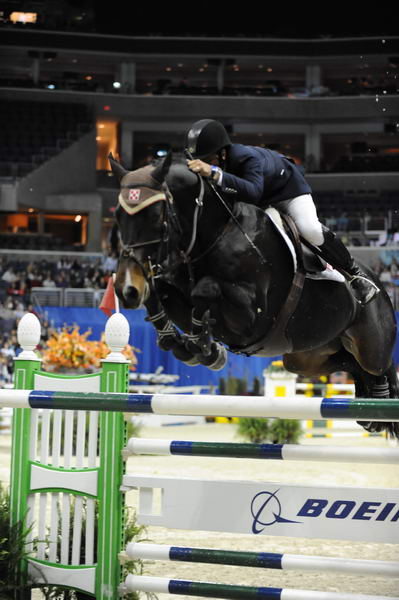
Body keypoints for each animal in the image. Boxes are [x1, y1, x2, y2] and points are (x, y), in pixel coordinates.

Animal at [108, 152, 398, 438]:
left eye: (156, 215)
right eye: (118, 216)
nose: (126, 288)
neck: (214, 233)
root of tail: (380, 286)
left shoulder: (251, 319)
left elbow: (205, 289)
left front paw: (203, 346)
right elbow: (162, 293)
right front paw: (185, 343)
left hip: (369, 345)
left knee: (379, 366)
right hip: (305, 357)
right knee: (349, 363)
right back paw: (369, 409)